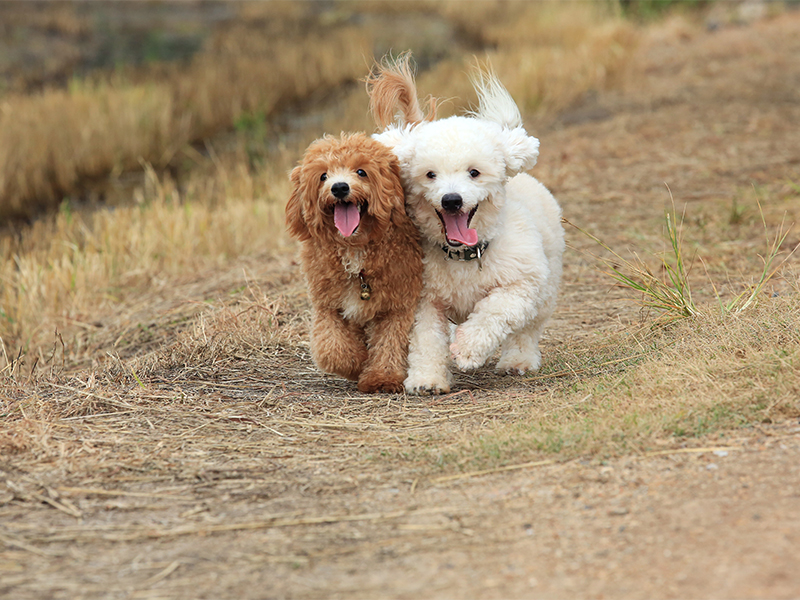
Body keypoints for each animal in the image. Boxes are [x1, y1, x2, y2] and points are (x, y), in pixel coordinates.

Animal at [288, 133, 424, 392]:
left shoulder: (398, 304)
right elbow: (332, 349)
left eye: (361, 172)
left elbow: (391, 343)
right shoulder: (328, 304)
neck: (355, 249)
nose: (340, 187)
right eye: (323, 176)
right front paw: (357, 363)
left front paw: (383, 378)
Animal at [368, 56, 564, 394]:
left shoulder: (520, 285)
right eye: (430, 174)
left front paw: (468, 349)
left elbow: (492, 313)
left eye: (474, 172)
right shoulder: (424, 301)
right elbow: (426, 340)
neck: (463, 255)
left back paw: (518, 361)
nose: (451, 200)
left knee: (526, 330)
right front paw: (427, 379)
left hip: (545, 290)